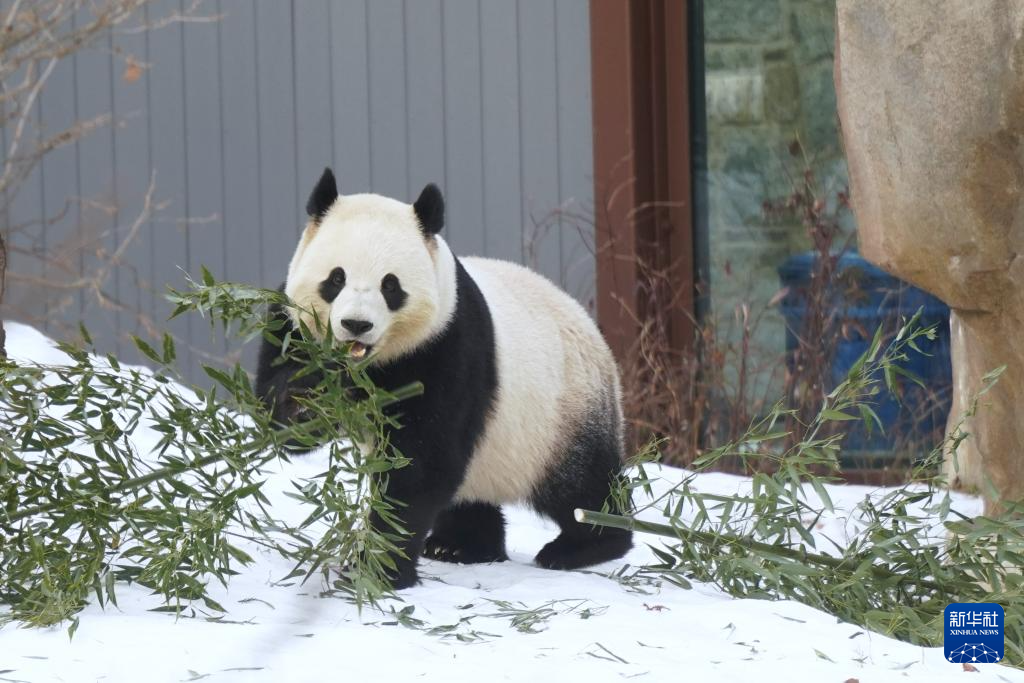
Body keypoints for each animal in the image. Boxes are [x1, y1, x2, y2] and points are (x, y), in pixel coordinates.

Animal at [256, 167, 630, 589]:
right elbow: (282, 416)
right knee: (471, 493)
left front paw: (378, 570)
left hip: (562, 414)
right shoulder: (291, 324)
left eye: (390, 285)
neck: (368, 367)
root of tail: (594, 333)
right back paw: (459, 546)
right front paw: (306, 405)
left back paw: (582, 545)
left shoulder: (447, 347)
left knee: (581, 486)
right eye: (336, 279)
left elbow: (421, 463)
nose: (356, 324)